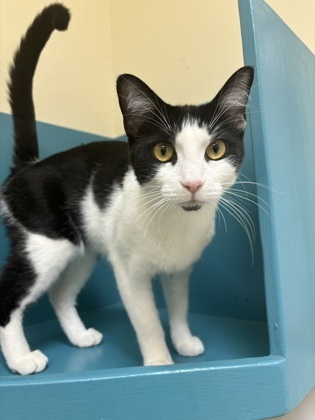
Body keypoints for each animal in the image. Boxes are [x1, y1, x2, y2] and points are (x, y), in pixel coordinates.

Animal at [0, 4, 253, 376]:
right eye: (162, 151)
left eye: (216, 149)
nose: (192, 183)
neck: (177, 222)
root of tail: (30, 166)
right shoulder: (129, 272)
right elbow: (147, 321)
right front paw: (159, 361)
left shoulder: (179, 268)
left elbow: (179, 305)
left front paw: (183, 341)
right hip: (45, 243)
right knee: (8, 297)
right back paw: (21, 359)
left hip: (83, 246)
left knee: (60, 294)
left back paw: (80, 336)